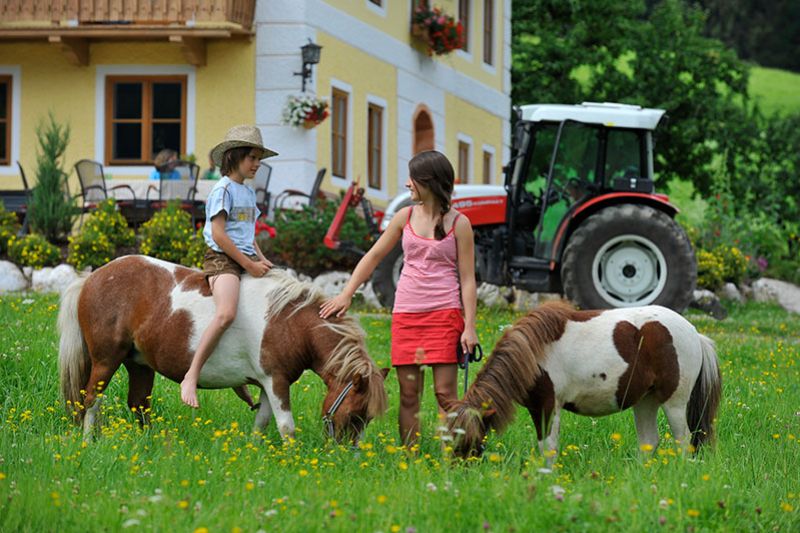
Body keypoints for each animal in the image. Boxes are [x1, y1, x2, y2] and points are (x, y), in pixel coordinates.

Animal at [57, 254, 388, 440]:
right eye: (356, 415)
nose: (345, 453)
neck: (289, 320)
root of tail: (92, 277)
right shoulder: (276, 382)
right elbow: (286, 427)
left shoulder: (268, 383)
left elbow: (262, 422)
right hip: (106, 361)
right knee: (91, 400)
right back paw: (88, 441)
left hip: (139, 364)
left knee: (138, 404)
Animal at [446, 302, 720, 460]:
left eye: (468, 438)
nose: (456, 472)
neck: (532, 353)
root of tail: (695, 333)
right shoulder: (538, 408)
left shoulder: (548, 405)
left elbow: (548, 448)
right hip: (646, 401)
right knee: (649, 443)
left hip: (674, 402)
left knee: (684, 442)